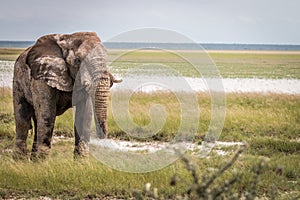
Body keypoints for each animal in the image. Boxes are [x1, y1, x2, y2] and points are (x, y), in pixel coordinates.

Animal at [12, 31, 120, 159]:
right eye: (77, 61)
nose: (102, 136)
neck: (68, 38)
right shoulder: (43, 75)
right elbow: (47, 115)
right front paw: (42, 163)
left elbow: (84, 117)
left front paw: (81, 162)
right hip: (17, 80)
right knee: (22, 120)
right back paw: (20, 160)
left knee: (37, 123)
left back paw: (32, 160)